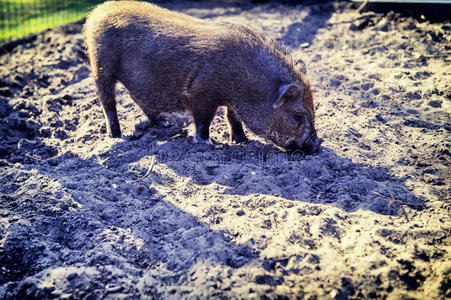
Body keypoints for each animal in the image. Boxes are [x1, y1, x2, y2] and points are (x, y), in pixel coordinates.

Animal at [81, 0, 322, 155]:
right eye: (297, 116)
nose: (318, 143)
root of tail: (97, 13)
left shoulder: (231, 102)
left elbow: (232, 118)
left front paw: (242, 141)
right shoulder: (201, 93)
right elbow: (204, 121)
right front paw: (209, 144)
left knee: (139, 100)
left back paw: (165, 124)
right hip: (100, 67)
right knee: (108, 103)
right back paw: (117, 137)